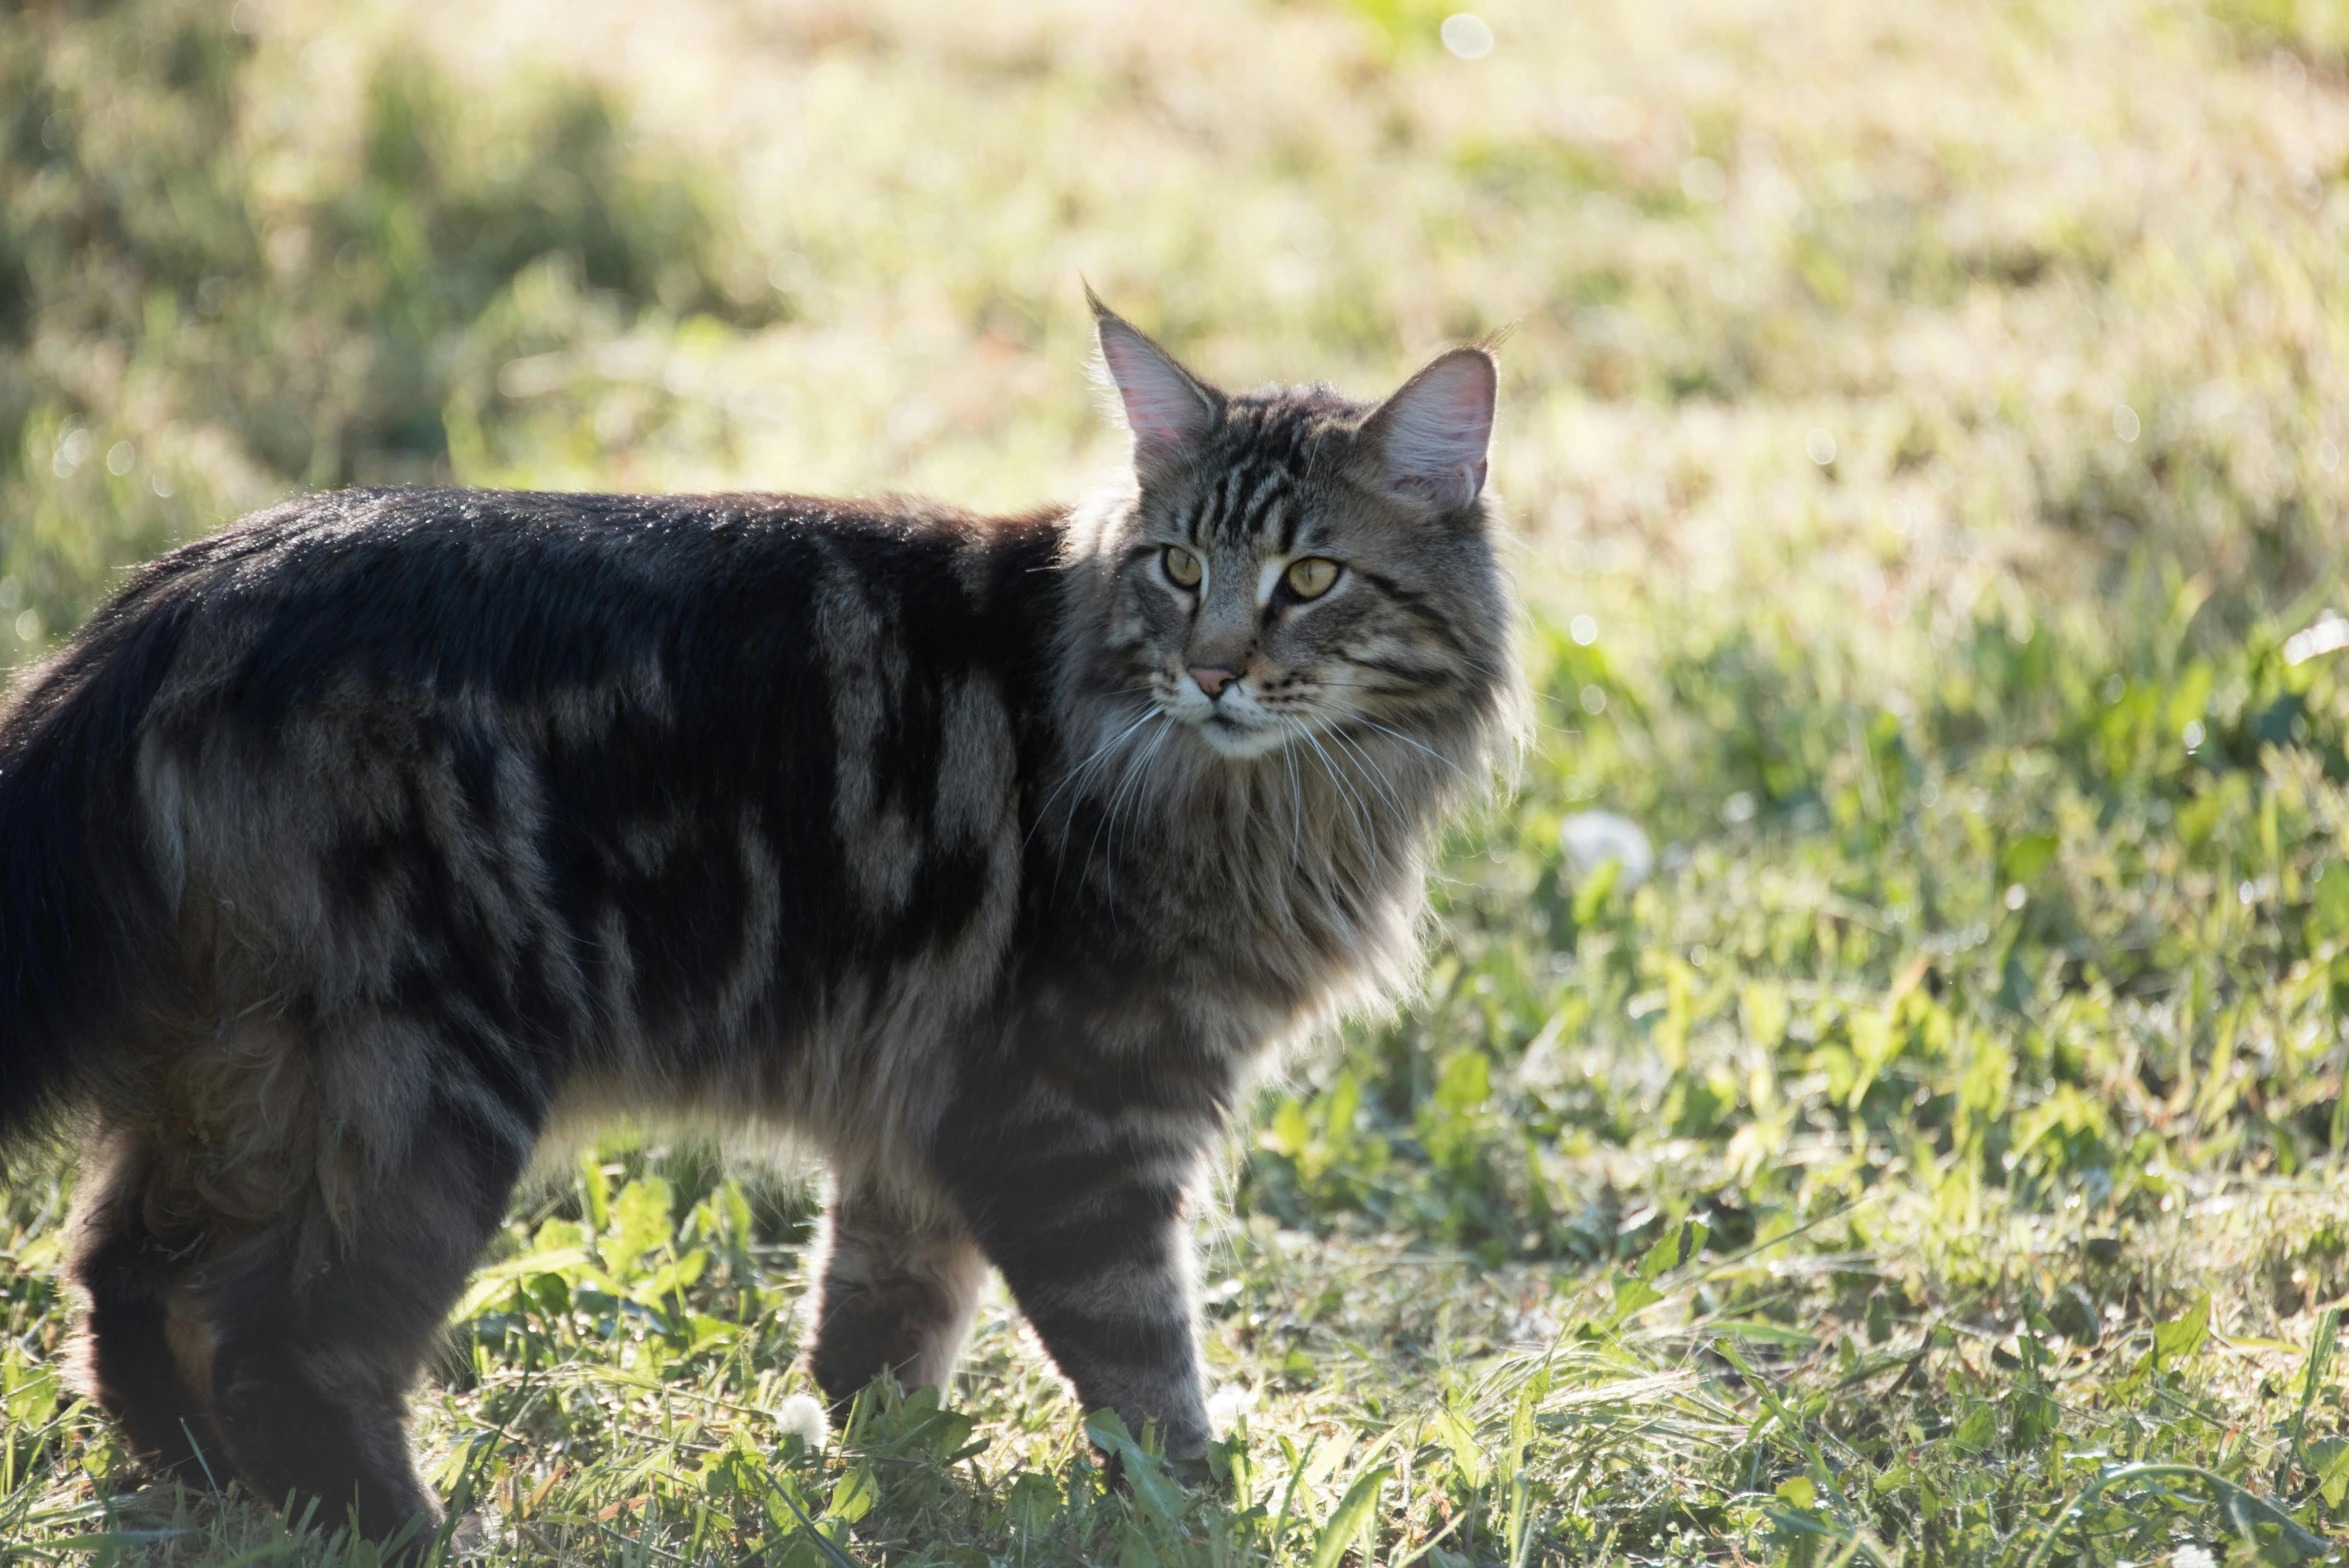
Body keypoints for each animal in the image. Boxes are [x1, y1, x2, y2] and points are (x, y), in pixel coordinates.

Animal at [0, 293, 1522, 1539]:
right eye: (1180, 569)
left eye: (1310, 579)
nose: (1212, 673)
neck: (1253, 793)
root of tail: (171, 601)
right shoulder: (1079, 1115)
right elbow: (1144, 1367)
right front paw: (1197, 1510)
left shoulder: (926, 1117)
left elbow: (879, 1332)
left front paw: (888, 1478)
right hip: (426, 1086)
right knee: (290, 1347)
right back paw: (390, 1526)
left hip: (243, 1081)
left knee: (125, 1286)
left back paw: (198, 1488)